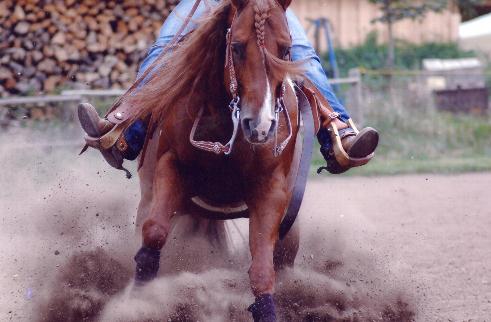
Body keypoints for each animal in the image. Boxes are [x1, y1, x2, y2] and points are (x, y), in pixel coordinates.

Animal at [123, 0, 308, 318]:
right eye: (237, 47)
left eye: (286, 49)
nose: (260, 126)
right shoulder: (170, 167)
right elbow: (154, 237)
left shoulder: (271, 191)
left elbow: (262, 270)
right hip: (152, 197)